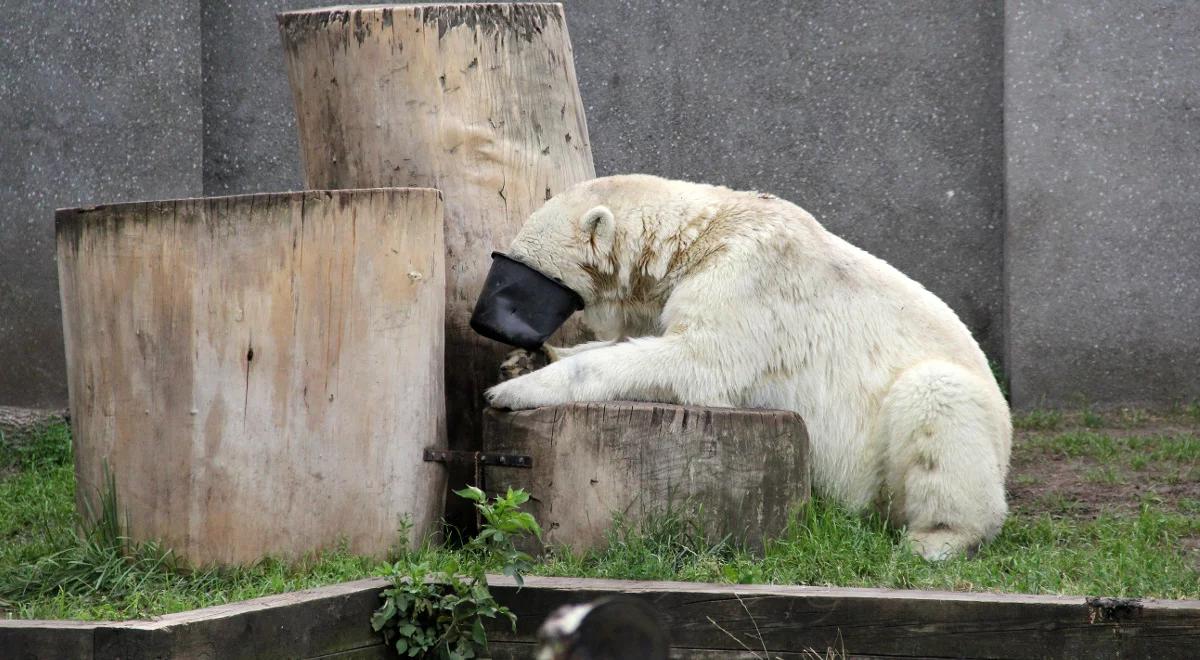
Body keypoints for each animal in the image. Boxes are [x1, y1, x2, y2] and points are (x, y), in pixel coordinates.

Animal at [482, 172, 1008, 561]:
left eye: (521, 264)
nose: (491, 319)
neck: (698, 236)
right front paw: (522, 361)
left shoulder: (750, 276)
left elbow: (696, 359)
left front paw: (513, 391)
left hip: (926, 437)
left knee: (939, 402)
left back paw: (936, 538)